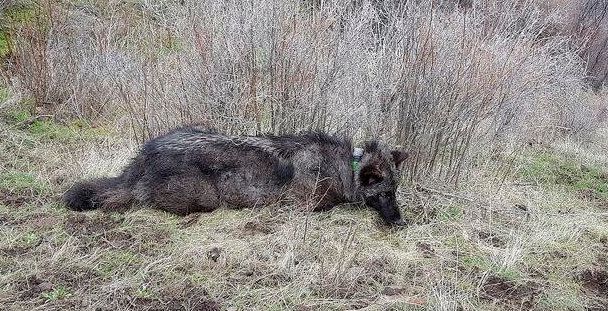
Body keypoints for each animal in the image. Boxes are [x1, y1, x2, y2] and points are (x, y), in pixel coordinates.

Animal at [63, 127, 408, 227]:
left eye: (394, 191)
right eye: (385, 194)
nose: (401, 223)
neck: (344, 168)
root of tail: (144, 155)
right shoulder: (303, 206)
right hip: (204, 197)